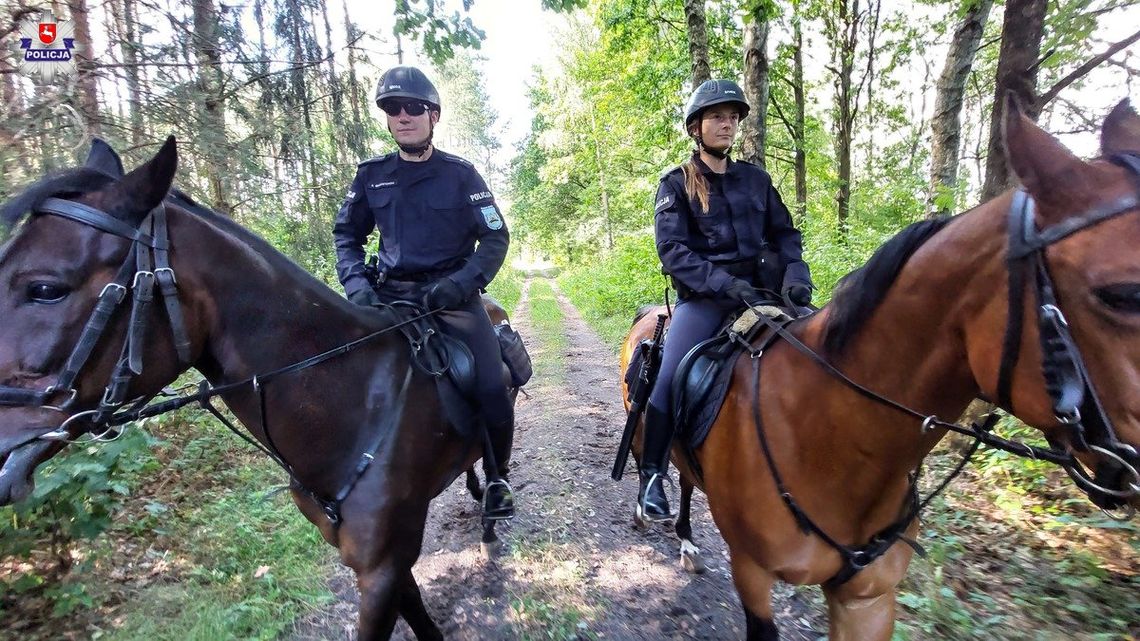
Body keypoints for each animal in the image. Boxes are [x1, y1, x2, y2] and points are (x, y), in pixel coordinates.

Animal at [620, 97, 1140, 634]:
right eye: (1121, 294)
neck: (831, 434)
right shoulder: (752, 575)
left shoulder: (868, 598)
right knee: (652, 456)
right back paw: (651, 509)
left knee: (687, 475)